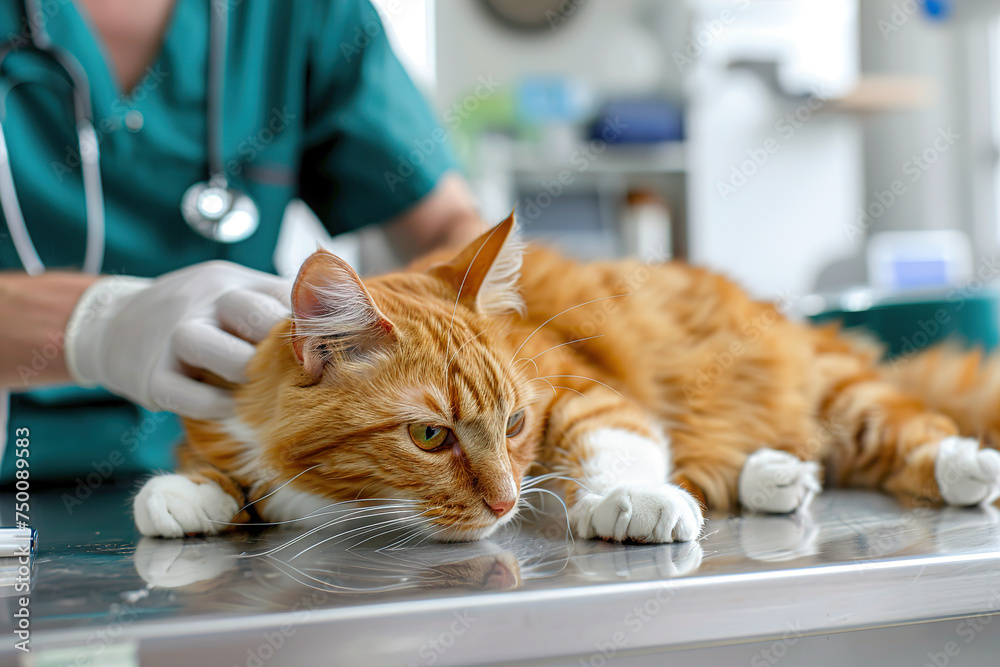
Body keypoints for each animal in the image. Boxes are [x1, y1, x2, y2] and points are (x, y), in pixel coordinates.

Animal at [133, 214, 1000, 544]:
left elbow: (616, 442)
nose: (505, 502)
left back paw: (967, 464)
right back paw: (774, 474)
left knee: (911, 432)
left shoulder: (587, 389)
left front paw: (632, 498)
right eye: (429, 435)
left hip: (842, 396)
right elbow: (211, 464)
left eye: (517, 422)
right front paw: (190, 491)